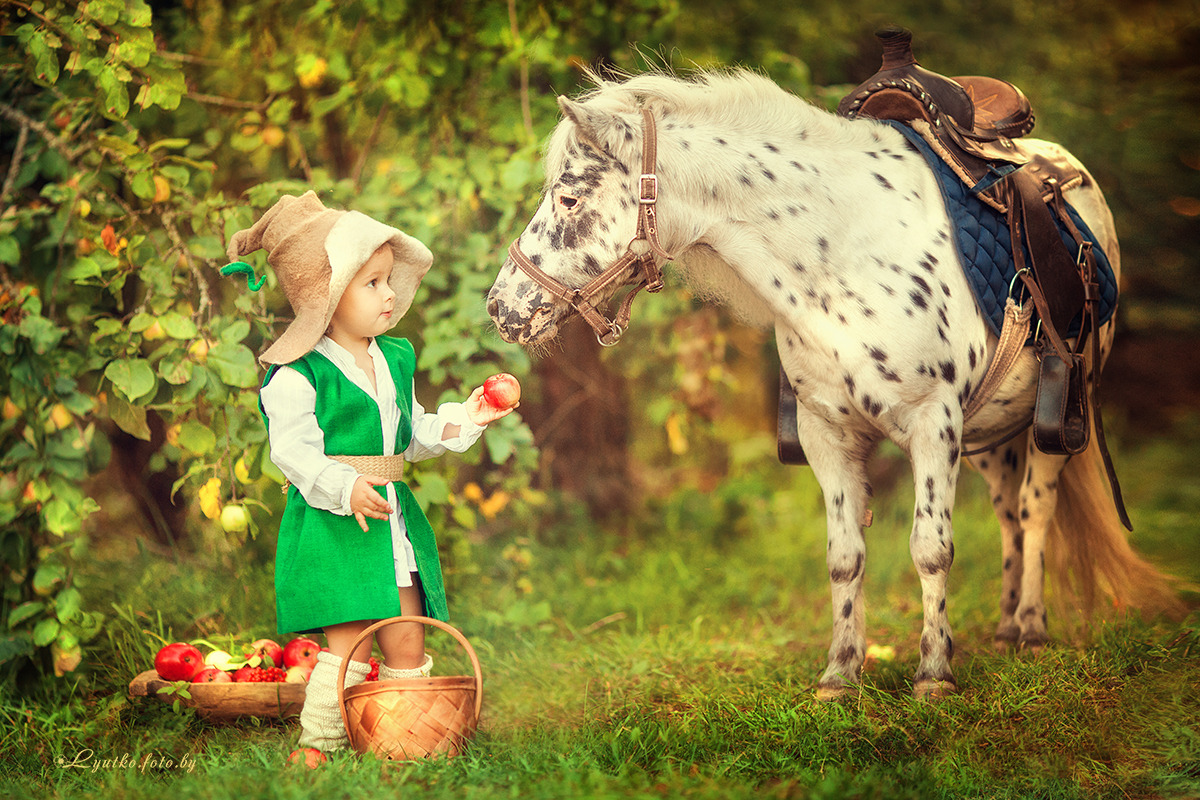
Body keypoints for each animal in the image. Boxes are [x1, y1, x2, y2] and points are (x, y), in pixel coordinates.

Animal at [482, 68, 1176, 700]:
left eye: (569, 200)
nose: (501, 308)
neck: (843, 255)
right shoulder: (827, 435)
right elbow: (845, 557)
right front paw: (841, 675)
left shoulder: (933, 424)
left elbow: (931, 548)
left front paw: (934, 673)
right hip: (991, 432)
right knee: (1008, 512)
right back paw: (1006, 628)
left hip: (1049, 421)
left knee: (1034, 512)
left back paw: (1030, 629)